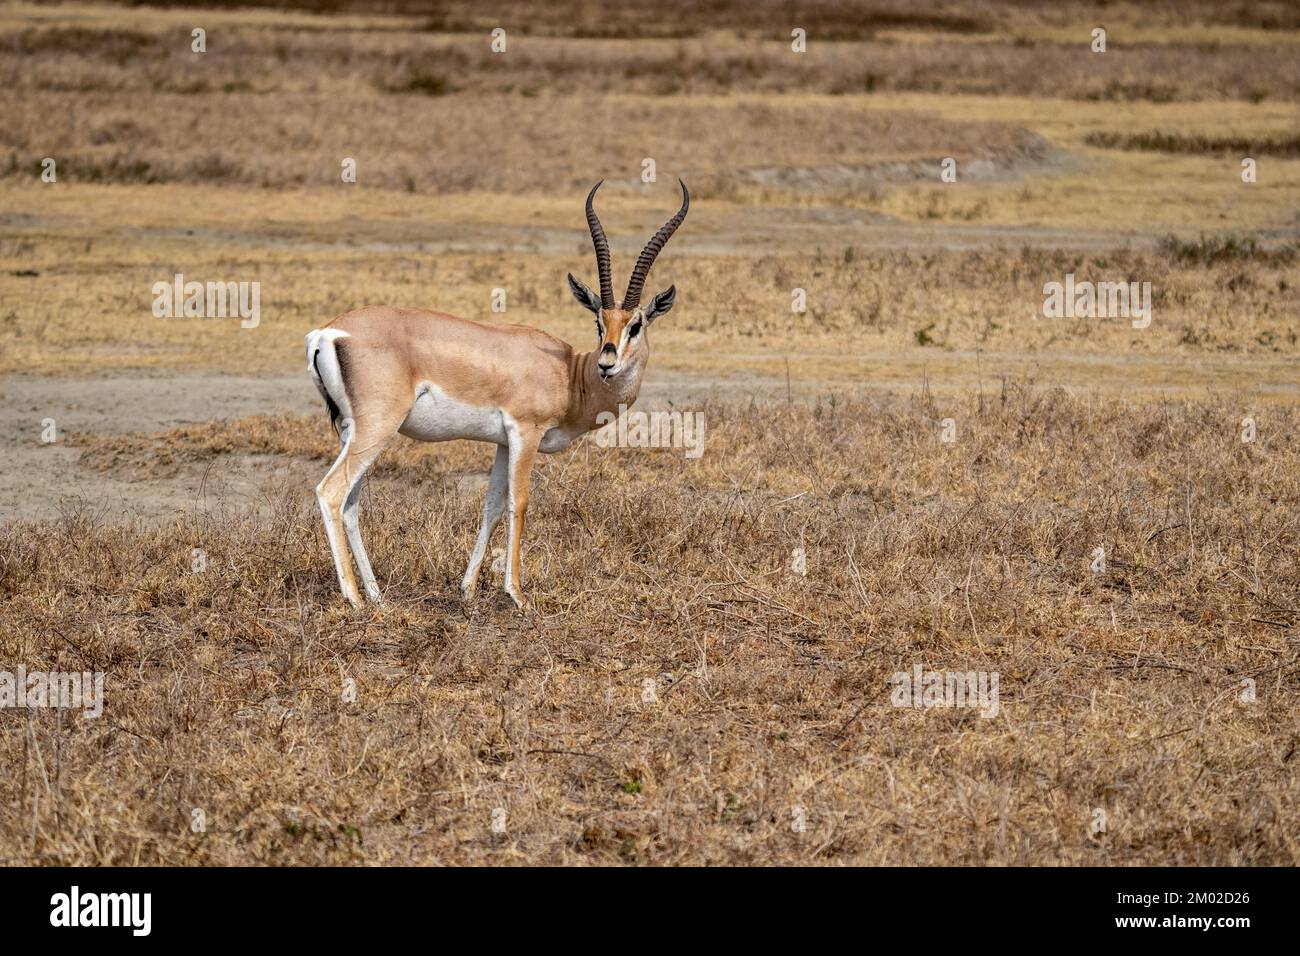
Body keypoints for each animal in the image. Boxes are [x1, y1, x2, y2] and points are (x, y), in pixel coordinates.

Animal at [305, 179, 689, 609]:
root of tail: (327, 332)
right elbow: (518, 502)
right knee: (331, 492)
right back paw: (355, 598)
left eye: (635, 325)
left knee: (351, 504)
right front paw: (517, 594)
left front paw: (468, 588)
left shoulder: (504, 443)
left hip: (352, 430)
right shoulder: (526, 432)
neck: (570, 374)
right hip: (377, 428)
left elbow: (490, 505)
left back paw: (376, 596)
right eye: (598, 322)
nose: (607, 363)